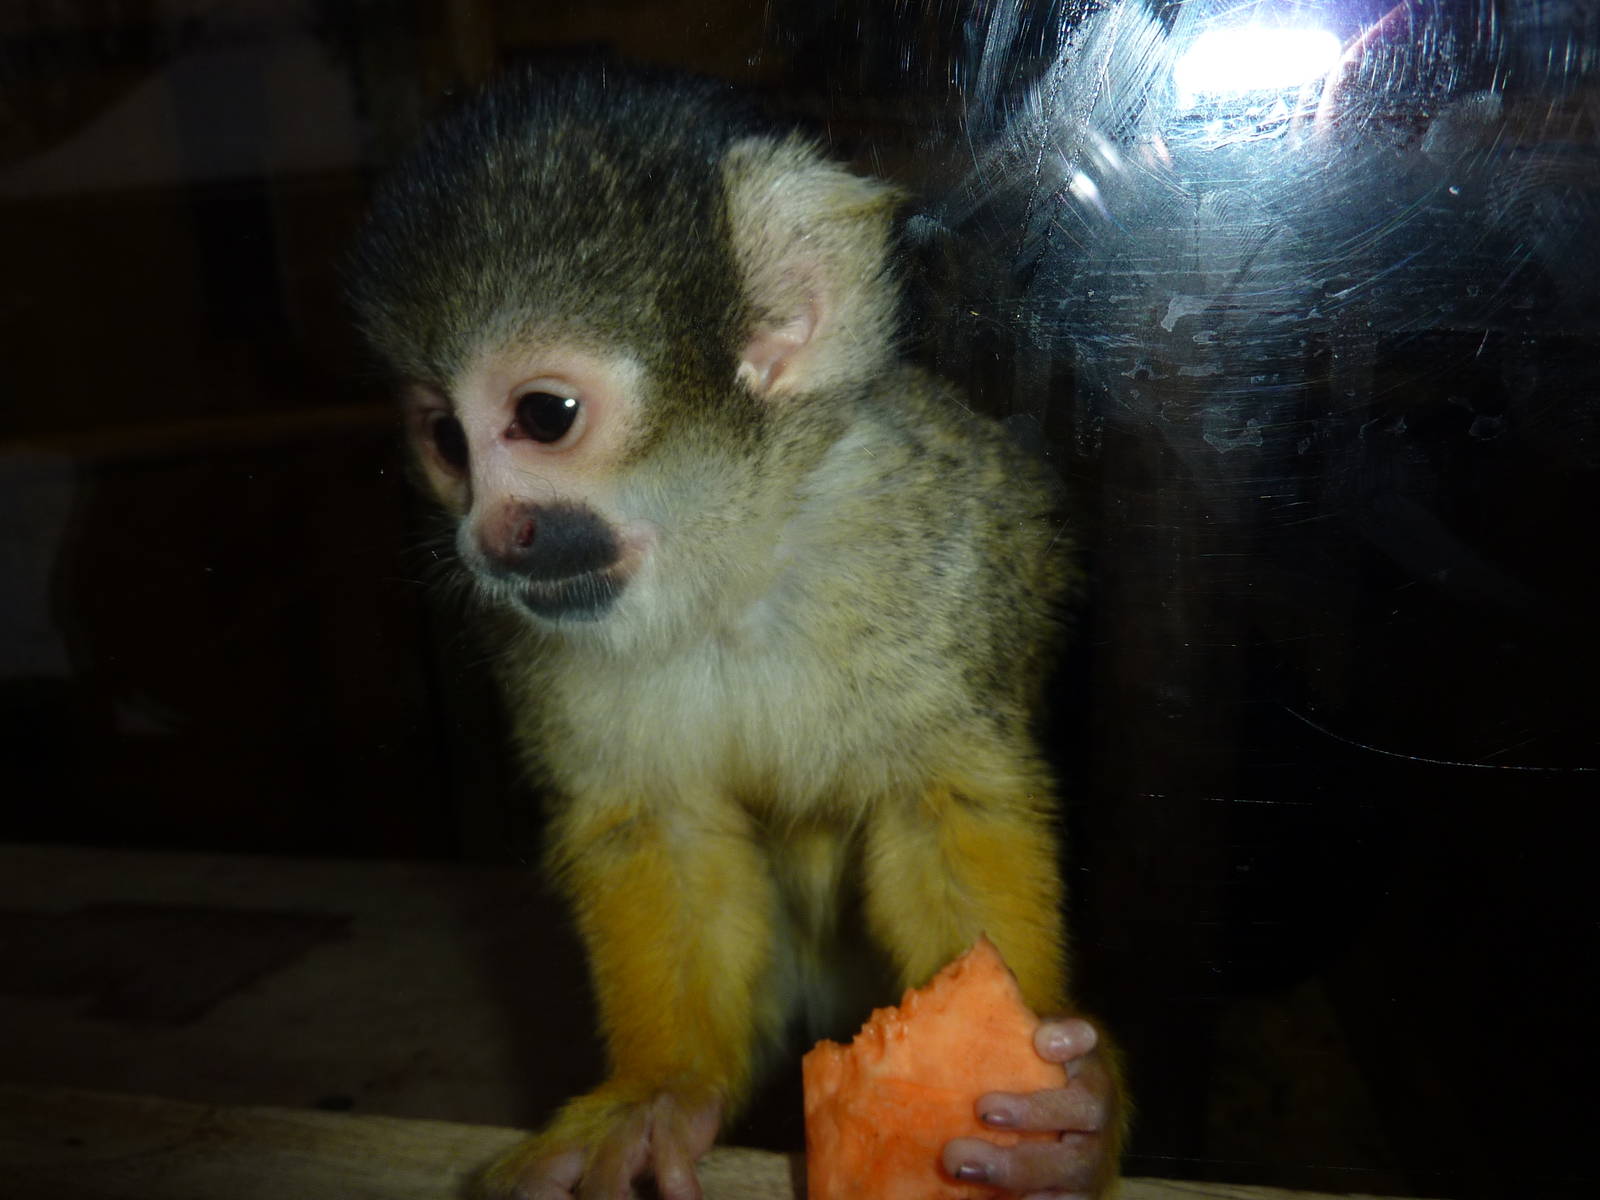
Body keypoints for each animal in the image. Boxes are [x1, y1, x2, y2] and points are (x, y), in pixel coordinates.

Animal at [347, 65, 1123, 1200]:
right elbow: (656, 826)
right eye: (444, 439)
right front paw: (655, 1094)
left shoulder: (939, 543)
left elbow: (942, 803)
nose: (489, 536)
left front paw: (1055, 1125)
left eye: (543, 417)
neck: (726, 566)